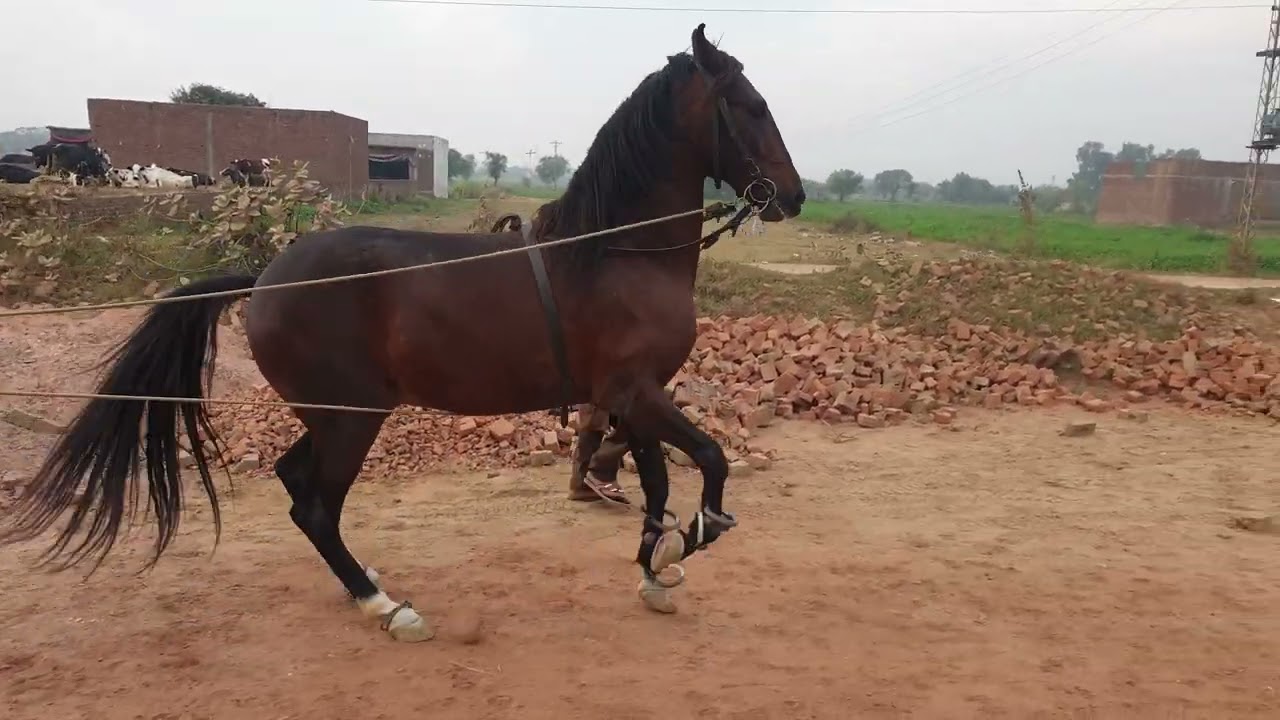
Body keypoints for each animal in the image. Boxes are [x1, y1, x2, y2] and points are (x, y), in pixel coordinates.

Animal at [0, 23, 805, 642]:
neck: (614, 253)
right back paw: (386, 607)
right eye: (752, 106)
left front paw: (655, 569)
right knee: (315, 505)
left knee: (297, 486)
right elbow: (711, 463)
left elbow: (661, 478)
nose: (792, 196)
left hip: (335, 416)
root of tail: (265, 276)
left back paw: (362, 582)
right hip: (354, 417)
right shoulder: (638, 393)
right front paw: (693, 536)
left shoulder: (630, 399)